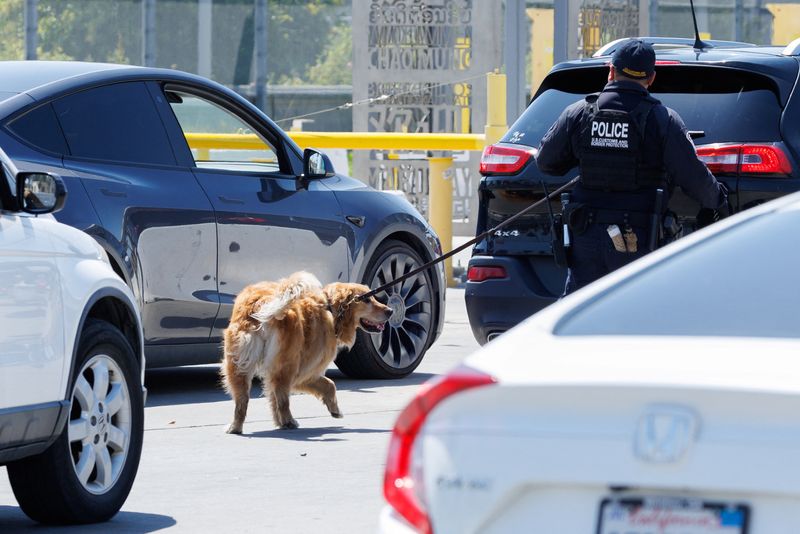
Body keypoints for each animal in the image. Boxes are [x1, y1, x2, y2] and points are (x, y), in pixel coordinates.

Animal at [220, 272, 392, 436]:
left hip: (239, 365)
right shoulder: (305, 372)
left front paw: (278, 421)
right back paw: (289, 421)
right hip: (285, 366)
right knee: (283, 399)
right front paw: (335, 410)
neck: (330, 309)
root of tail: (260, 301)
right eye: (367, 300)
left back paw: (235, 427)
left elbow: (274, 399)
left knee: (242, 402)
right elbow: (330, 384)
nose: (390, 311)